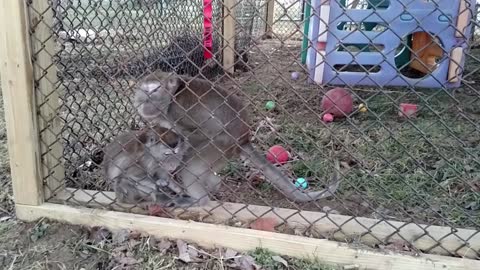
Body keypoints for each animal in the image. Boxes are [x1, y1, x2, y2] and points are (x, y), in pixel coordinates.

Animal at [133, 70, 340, 206]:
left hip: (221, 145)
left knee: (192, 166)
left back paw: (199, 201)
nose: (143, 101)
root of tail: (243, 138)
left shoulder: (180, 111)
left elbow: (202, 132)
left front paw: (174, 165)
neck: (171, 98)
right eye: (143, 92)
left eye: (153, 91)